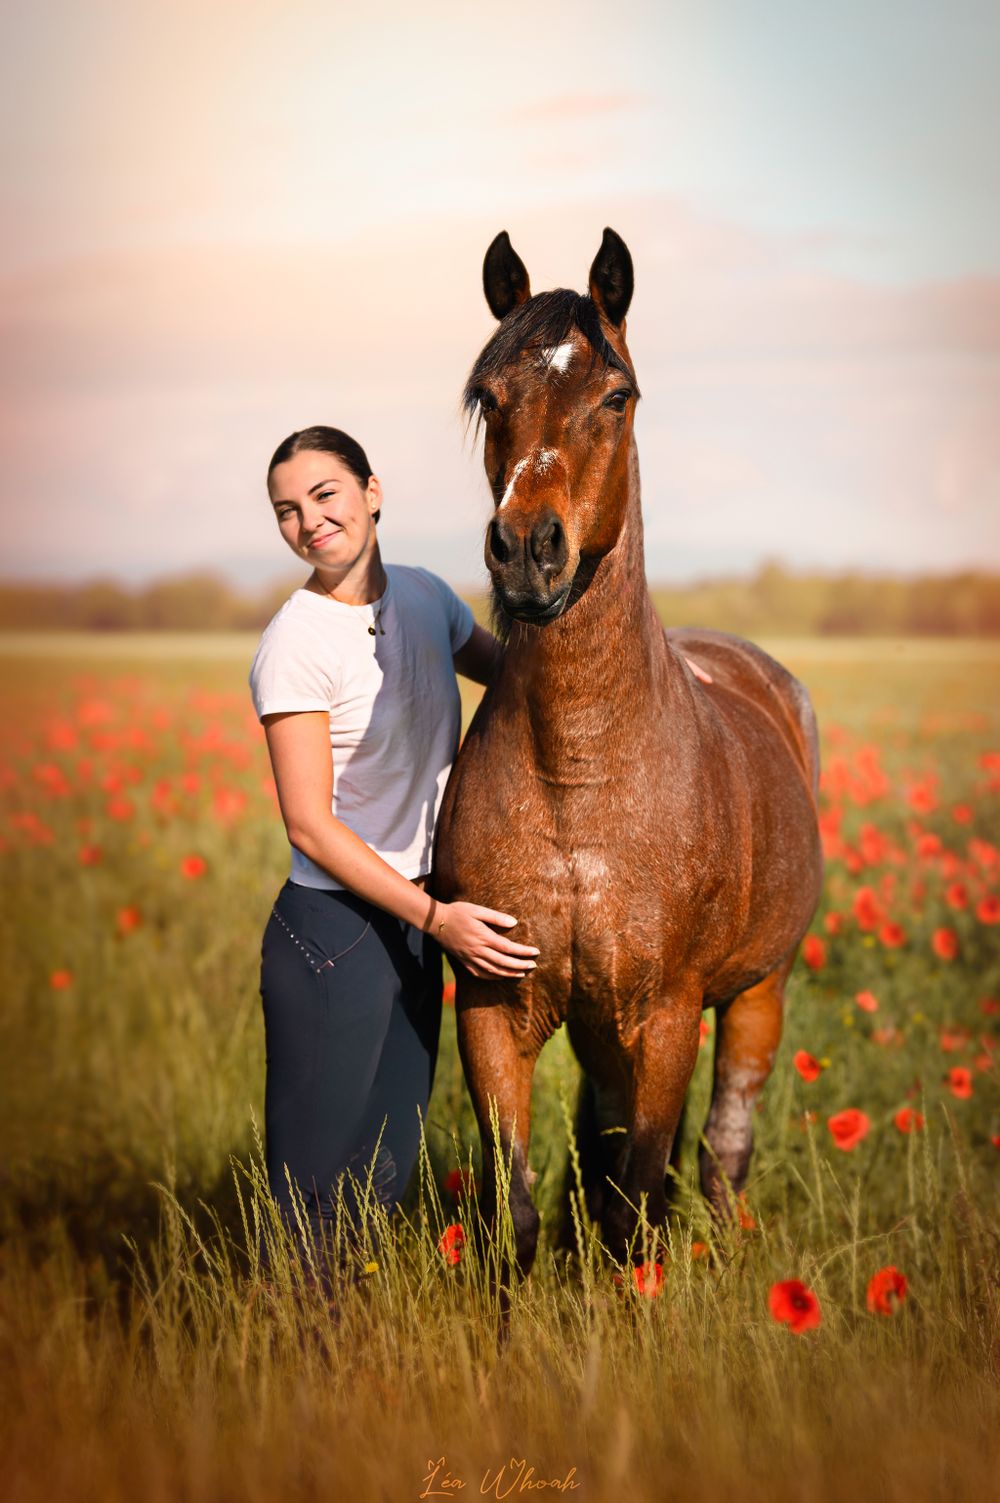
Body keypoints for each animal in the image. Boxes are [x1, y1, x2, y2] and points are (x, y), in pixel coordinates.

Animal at [434, 228, 823, 1277]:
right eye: (490, 396)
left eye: (617, 396)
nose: (527, 551)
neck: (580, 777)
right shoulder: (494, 1005)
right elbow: (518, 1211)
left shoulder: (667, 1013)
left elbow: (637, 1205)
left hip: (758, 993)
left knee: (725, 1144)